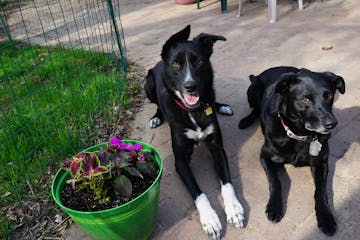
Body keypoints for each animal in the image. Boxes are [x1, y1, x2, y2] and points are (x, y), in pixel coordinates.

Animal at [146, 25, 245, 239]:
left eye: (199, 61)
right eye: (175, 64)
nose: (190, 86)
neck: (194, 111)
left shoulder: (217, 148)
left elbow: (227, 185)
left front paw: (234, 209)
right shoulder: (180, 161)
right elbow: (199, 193)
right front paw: (210, 220)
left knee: (212, 98)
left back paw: (222, 106)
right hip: (147, 85)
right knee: (156, 104)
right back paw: (156, 117)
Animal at [238, 66, 344, 235]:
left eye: (329, 96)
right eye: (306, 99)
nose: (331, 124)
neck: (300, 135)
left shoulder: (321, 163)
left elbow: (321, 191)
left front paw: (326, 217)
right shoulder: (264, 156)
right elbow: (275, 182)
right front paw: (274, 207)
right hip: (253, 90)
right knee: (255, 109)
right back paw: (246, 120)